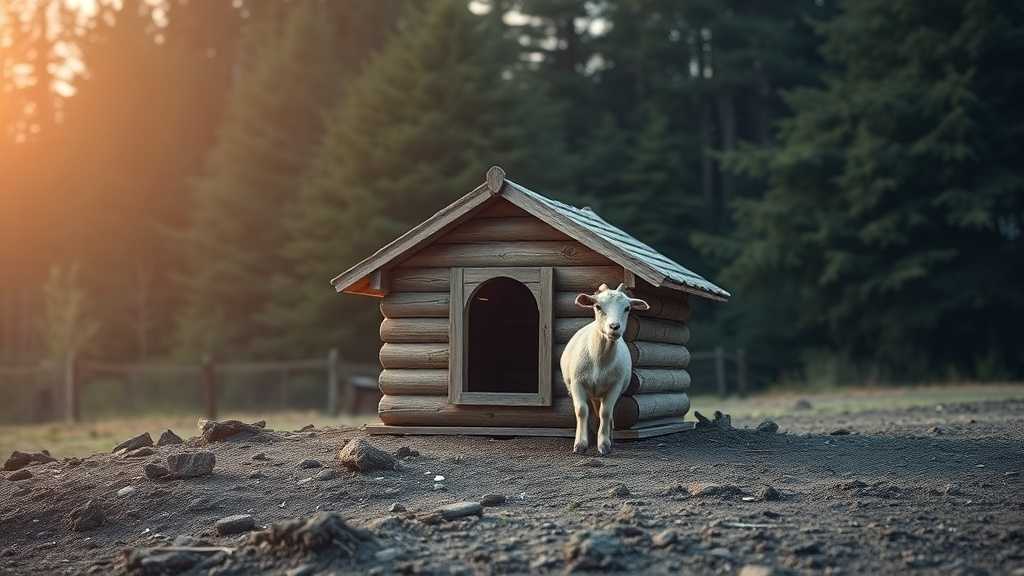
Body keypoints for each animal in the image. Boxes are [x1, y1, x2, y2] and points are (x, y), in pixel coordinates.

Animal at [559, 283, 649, 455]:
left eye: (627, 308)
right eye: (598, 306)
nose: (614, 327)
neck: (599, 361)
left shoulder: (615, 386)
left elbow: (606, 413)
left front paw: (604, 445)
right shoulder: (577, 383)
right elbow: (581, 410)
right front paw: (580, 445)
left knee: (606, 413)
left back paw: (609, 438)